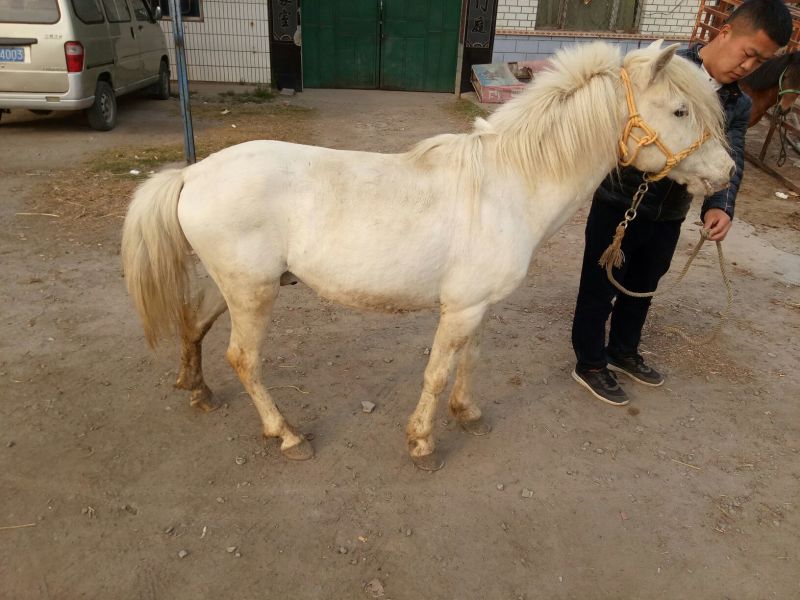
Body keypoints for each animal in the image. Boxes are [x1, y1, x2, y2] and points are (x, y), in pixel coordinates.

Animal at [121, 40, 733, 471]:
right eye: (681, 110)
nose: (726, 173)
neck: (508, 183)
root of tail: (192, 174)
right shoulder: (458, 309)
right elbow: (437, 374)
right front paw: (422, 444)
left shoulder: (479, 307)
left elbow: (470, 361)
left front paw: (469, 416)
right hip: (253, 294)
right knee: (244, 360)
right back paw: (287, 436)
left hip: (233, 286)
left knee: (194, 325)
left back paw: (197, 392)